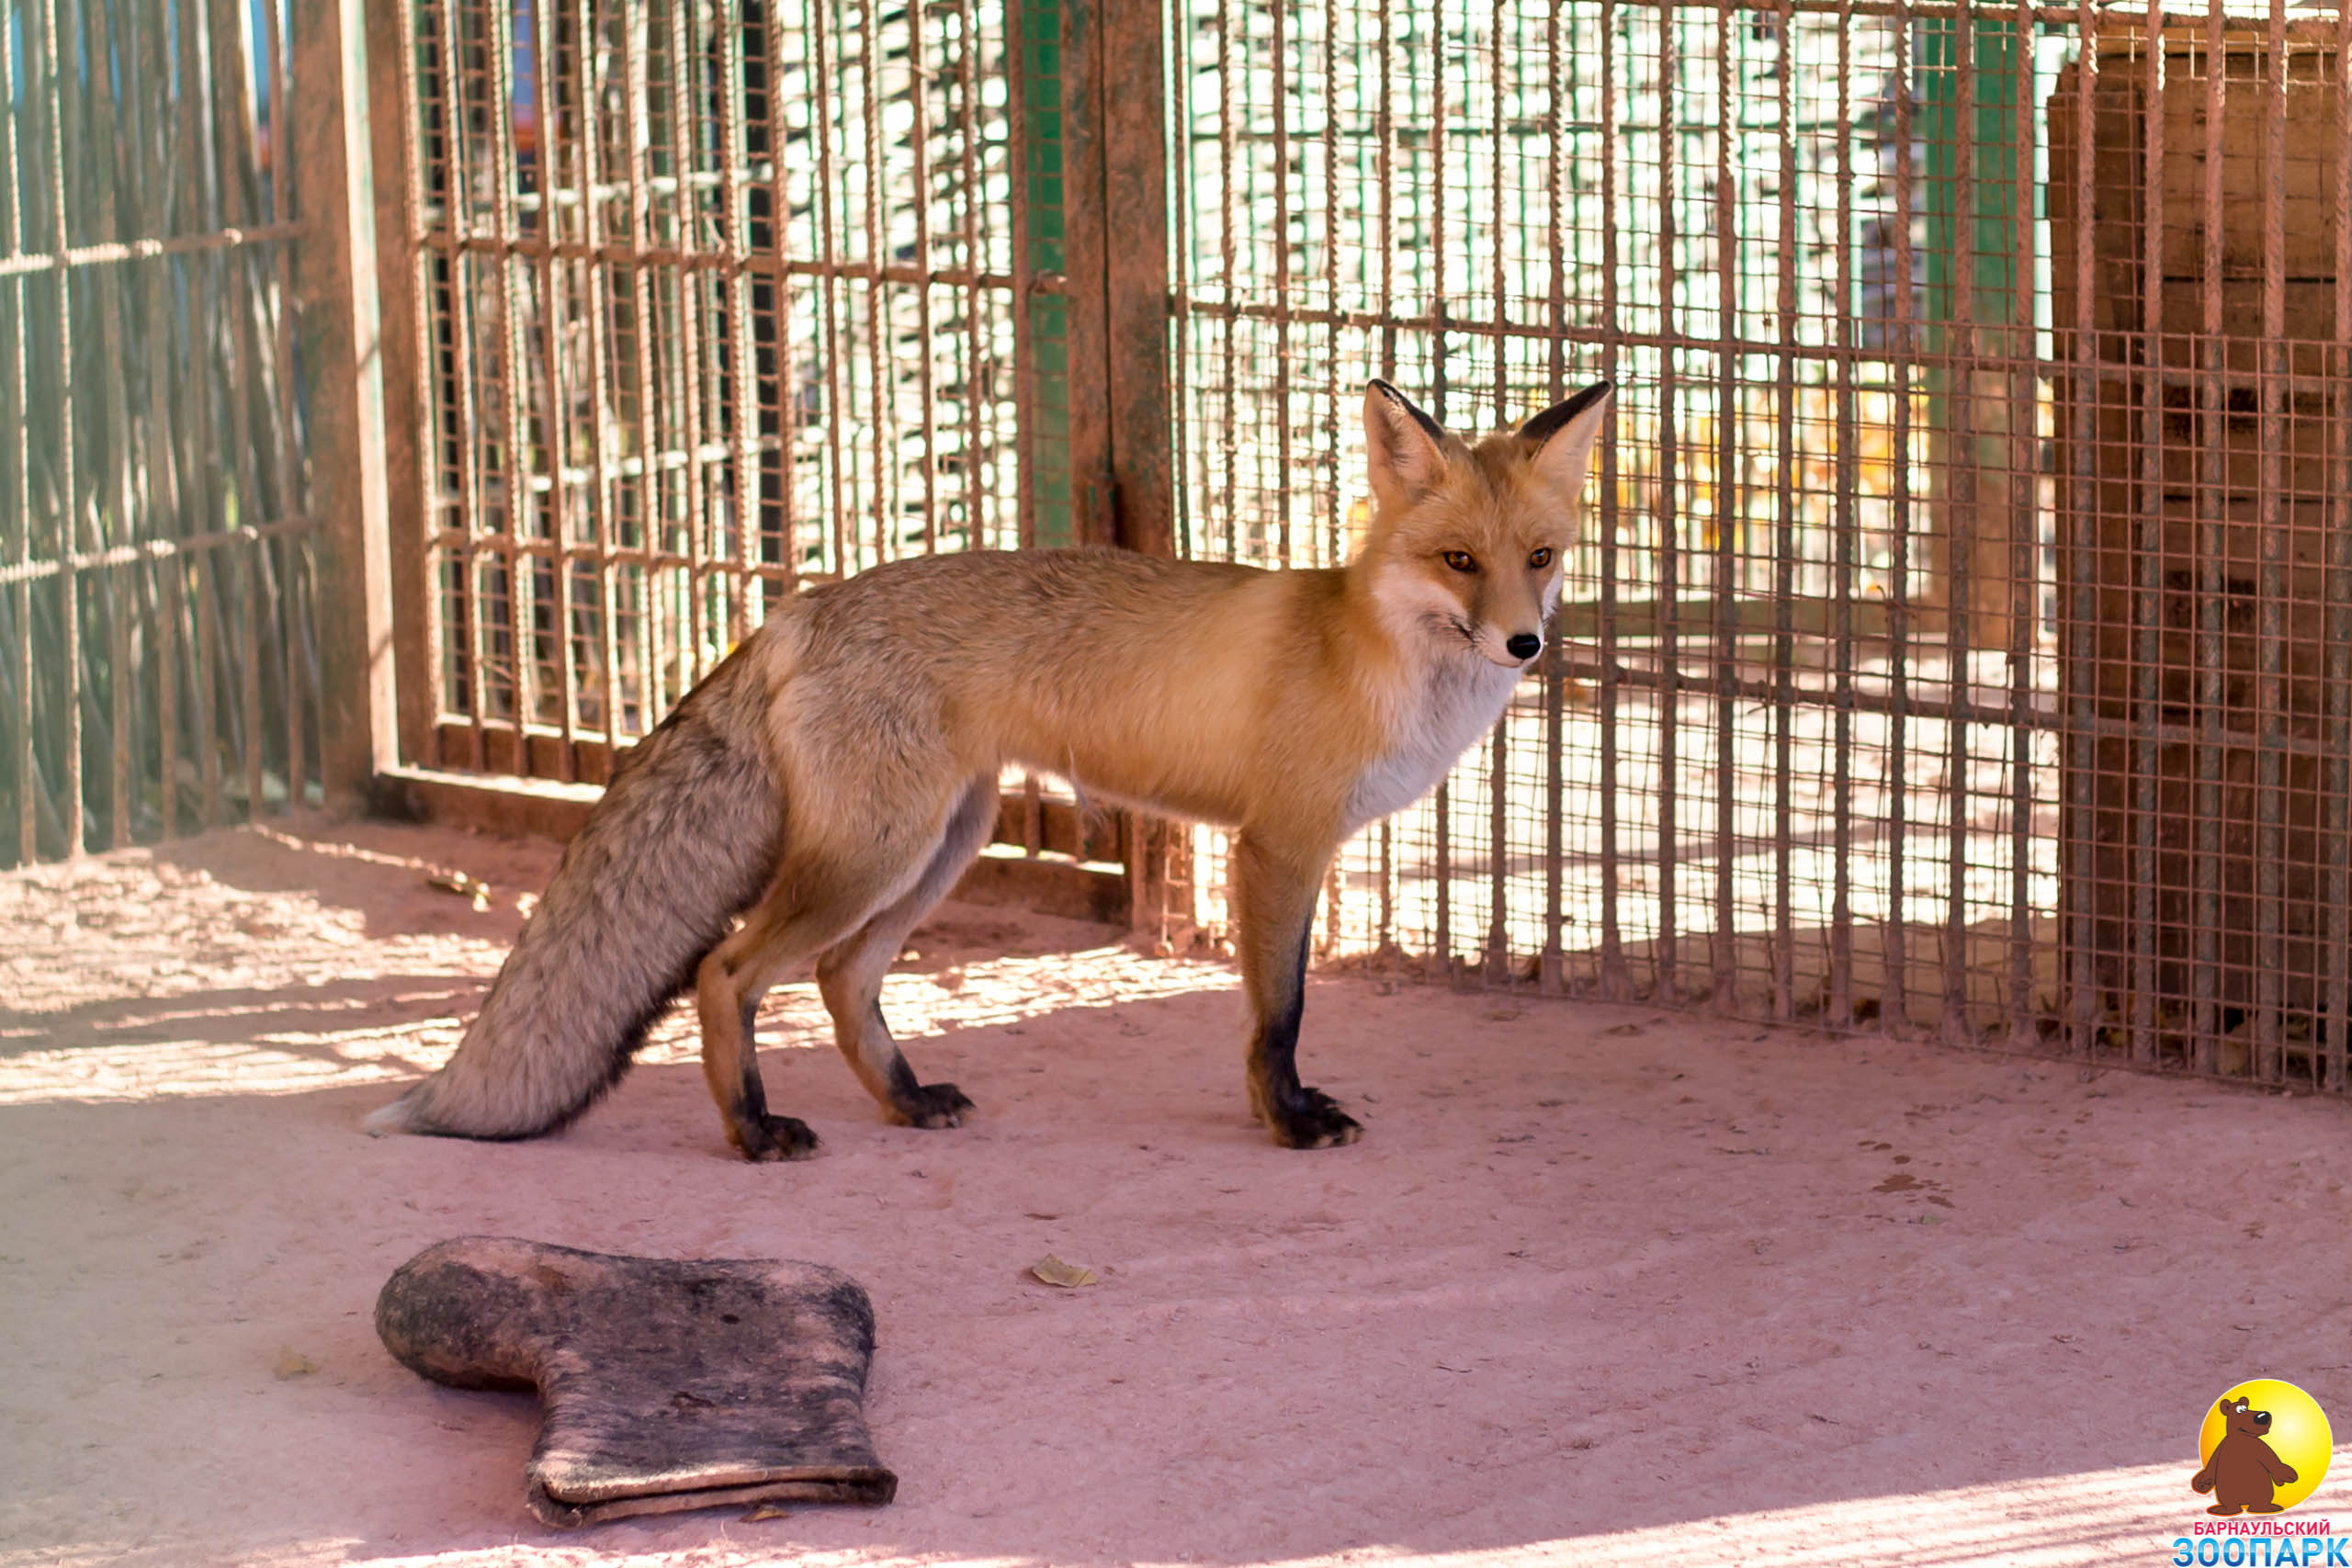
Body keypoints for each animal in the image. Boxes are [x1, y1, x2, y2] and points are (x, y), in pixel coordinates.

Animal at [367, 376, 1618, 1166]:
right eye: (1456, 560)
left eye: (1538, 558)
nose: (1524, 644)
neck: (1365, 652)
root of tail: (802, 605)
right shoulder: (1275, 848)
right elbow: (1278, 1017)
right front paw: (1289, 1123)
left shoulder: (1293, 854)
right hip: (875, 853)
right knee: (727, 972)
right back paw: (753, 1132)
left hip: (937, 846)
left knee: (841, 979)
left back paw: (905, 1099)